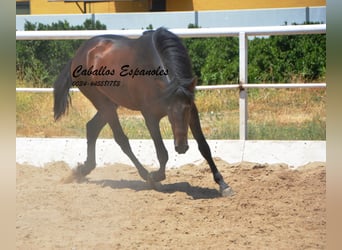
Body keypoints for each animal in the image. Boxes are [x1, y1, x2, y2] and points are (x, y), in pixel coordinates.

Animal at [53, 26, 234, 195]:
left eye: (187, 109)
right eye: (169, 112)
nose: (181, 148)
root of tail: (79, 54)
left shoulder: (193, 112)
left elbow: (204, 146)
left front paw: (223, 184)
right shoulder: (150, 117)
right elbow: (162, 153)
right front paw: (155, 177)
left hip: (111, 103)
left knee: (92, 127)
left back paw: (81, 170)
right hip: (103, 103)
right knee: (121, 139)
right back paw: (144, 174)